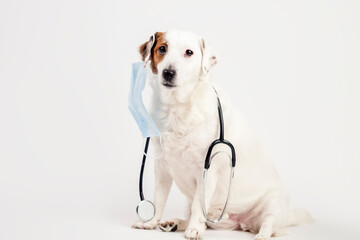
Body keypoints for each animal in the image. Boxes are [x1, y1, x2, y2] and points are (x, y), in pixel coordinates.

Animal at [131, 30, 310, 240]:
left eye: (189, 52)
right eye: (162, 48)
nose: (168, 72)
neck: (177, 108)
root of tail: (243, 223)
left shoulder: (207, 169)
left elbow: (198, 206)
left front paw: (195, 229)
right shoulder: (162, 168)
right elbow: (159, 199)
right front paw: (151, 221)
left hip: (274, 202)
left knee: (269, 222)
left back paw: (262, 234)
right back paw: (174, 223)